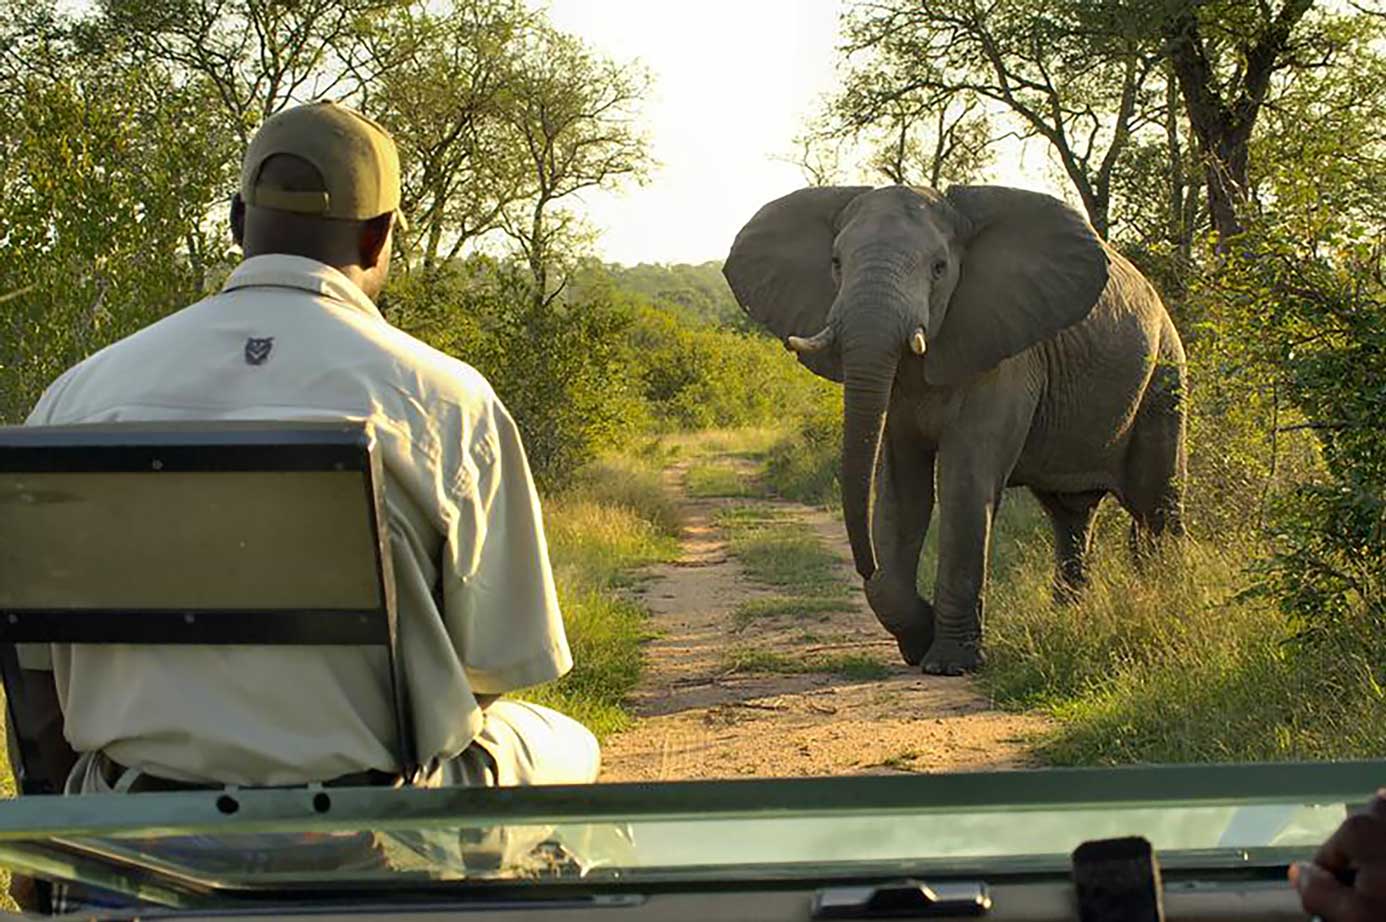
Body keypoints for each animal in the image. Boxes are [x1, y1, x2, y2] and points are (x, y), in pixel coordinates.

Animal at [720, 185, 1186, 676]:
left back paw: (1168, 598)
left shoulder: (1003, 353)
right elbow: (901, 491)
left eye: (940, 269)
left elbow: (964, 484)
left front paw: (949, 664)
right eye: (835, 263)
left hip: (1164, 378)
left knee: (1156, 503)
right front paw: (918, 638)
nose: (865, 565)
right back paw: (1069, 617)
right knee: (1072, 514)